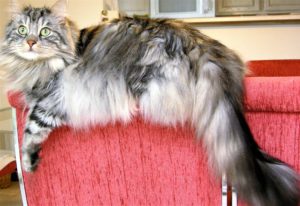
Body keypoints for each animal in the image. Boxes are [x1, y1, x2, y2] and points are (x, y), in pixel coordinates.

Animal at [0, 0, 298, 206]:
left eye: (45, 32)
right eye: (23, 30)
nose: (30, 42)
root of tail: (199, 43)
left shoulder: (56, 97)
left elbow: (31, 126)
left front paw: (28, 163)